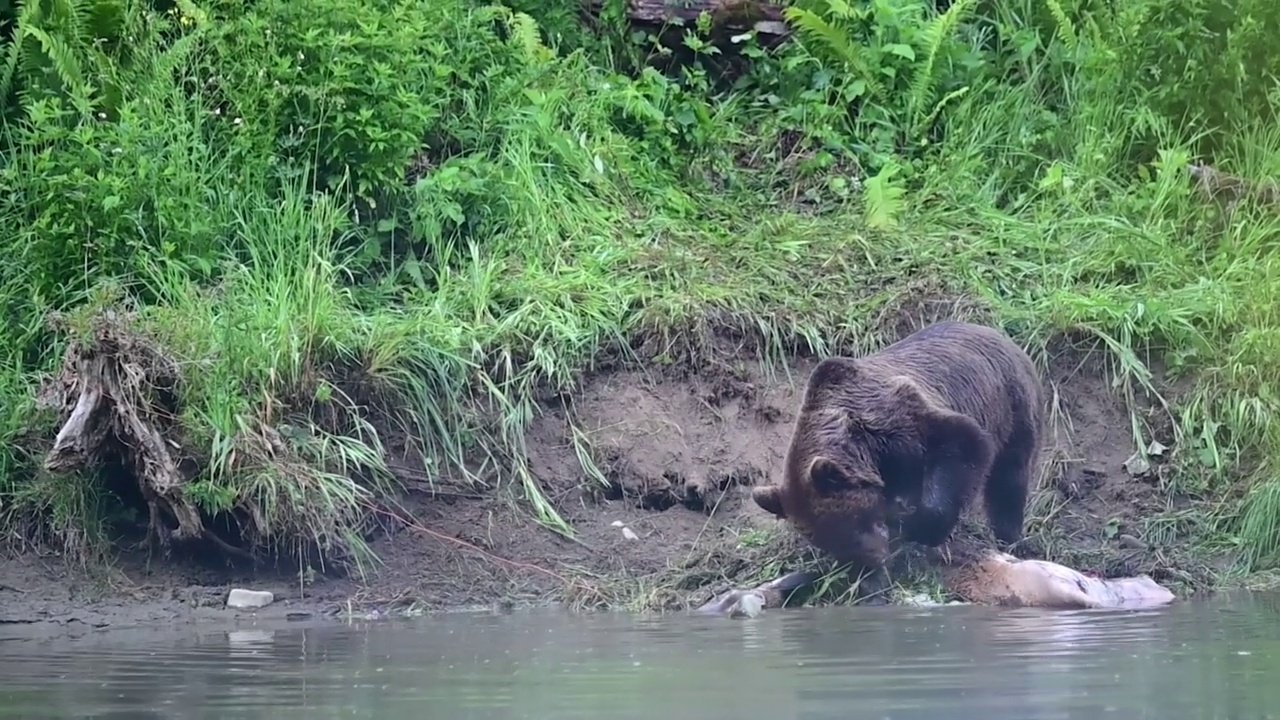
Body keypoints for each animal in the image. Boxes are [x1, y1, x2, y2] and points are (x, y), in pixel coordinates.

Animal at [752, 319, 1044, 571]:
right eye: (825, 540)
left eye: (850, 523)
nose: (872, 559)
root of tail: (1003, 337)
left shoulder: (902, 418)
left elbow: (962, 444)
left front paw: (921, 528)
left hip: (1012, 403)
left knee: (1010, 476)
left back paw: (1009, 535)